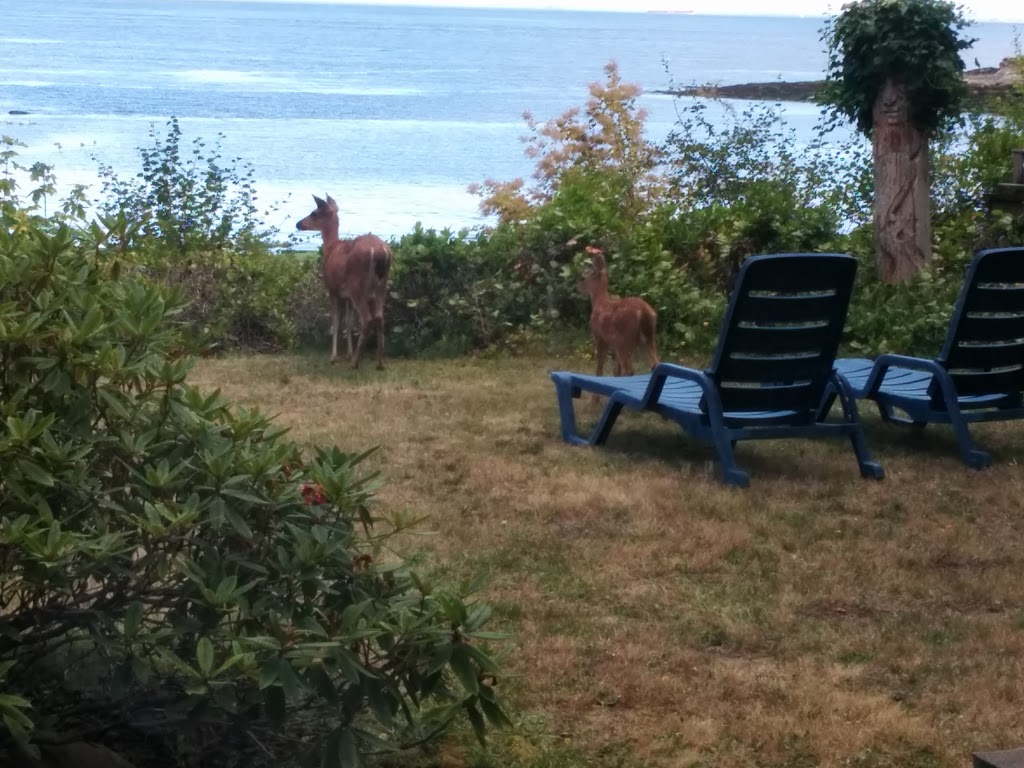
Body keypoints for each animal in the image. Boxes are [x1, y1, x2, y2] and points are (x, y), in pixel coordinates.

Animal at [299, 195, 393, 370]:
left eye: (313, 213)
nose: (298, 224)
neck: (330, 248)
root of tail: (379, 252)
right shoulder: (347, 295)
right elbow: (348, 323)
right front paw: (348, 354)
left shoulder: (332, 288)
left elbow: (336, 322)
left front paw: (334, 357)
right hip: (382, 285)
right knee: (379, 317)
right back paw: (379, 362)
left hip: (358, 286)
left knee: (367, 318)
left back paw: (356, 362)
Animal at [577, 247, 655, 382]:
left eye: (583, 277)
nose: (577, 287)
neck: (600, 301)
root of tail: (643, 312)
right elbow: (615, 371)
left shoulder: (600, 336)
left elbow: (600, 367)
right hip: (649, 335)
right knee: (655, 363)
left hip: (623, 339)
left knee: (629, 370)